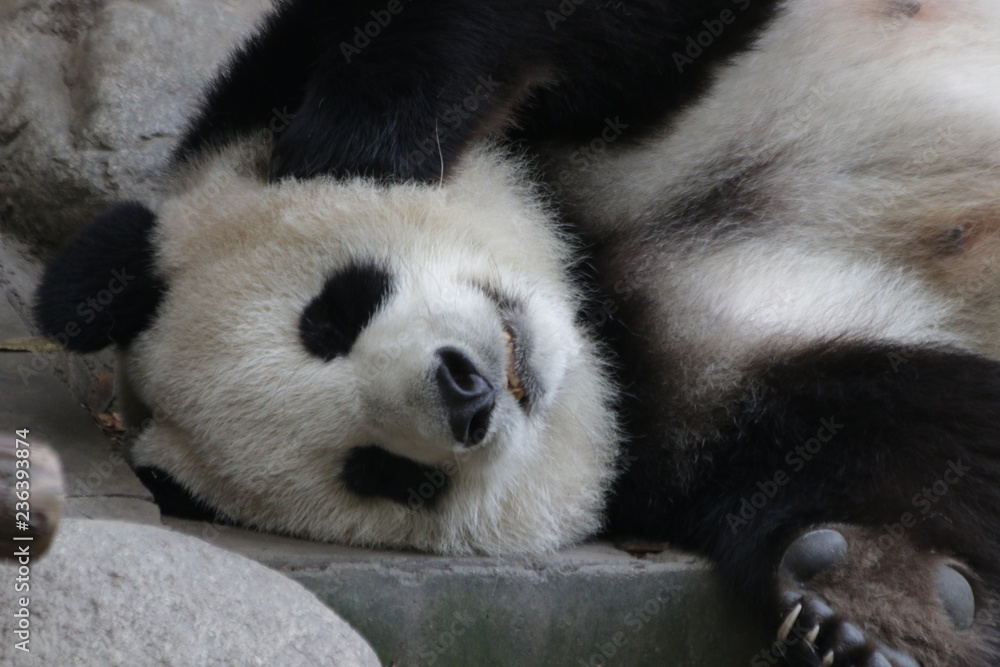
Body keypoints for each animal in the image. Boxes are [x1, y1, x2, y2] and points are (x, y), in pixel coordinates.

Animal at [31, 0, 1000, 665]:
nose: (466, 389)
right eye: (386, 474)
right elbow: (906, 425)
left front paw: (361, 139)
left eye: (333, 313)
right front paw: (862, 609)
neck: (593, 279)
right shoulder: (700, 399)